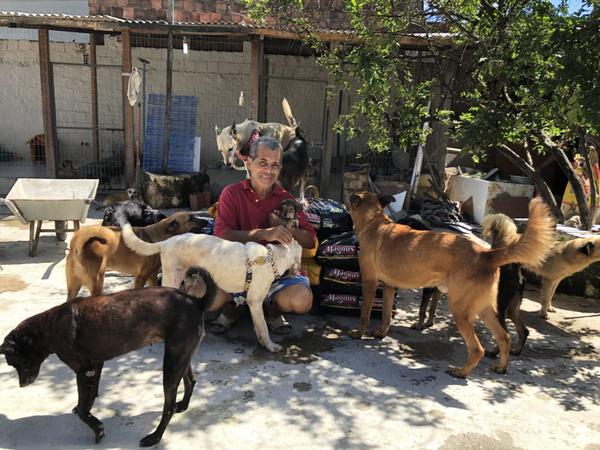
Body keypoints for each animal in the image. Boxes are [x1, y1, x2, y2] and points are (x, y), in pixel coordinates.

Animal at [0, 268, 218, 446]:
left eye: (14, 362)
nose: (21, 385)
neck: (48, 328)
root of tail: (196, 301)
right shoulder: (96, 365)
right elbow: (87, 398)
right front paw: (87, 407)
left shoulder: (84, 370)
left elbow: (83, 411)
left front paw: (97, 428)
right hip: (181, 355)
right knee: (191, 381)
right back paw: (183, 405)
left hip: (172, 363)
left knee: (169, 406)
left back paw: (155, 437)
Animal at [65, 211, 206, 298]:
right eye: (191, 218)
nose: (206, 221)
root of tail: (76, 244)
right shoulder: (141, 277)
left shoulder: (152, 276)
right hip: (98, 282)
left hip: (73, 287)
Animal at [119, 223, 302, 354]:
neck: (271, 258)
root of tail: (167, 242)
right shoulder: (254, 301)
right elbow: (263, 327)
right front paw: (270, 346)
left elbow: (260, 325)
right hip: (173, 278)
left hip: (188, 281)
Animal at [350, 192, 556, 378]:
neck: (374, 221)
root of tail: (486, 255)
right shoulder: (389, 287)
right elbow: (386, 314)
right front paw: (381, 333)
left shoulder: (369, 282)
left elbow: (364, 314)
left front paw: (359, 334)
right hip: (487, 310)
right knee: (505, 337)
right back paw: (501, 367)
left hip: (460, 310)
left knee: (477, 348)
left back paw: (461, 372)